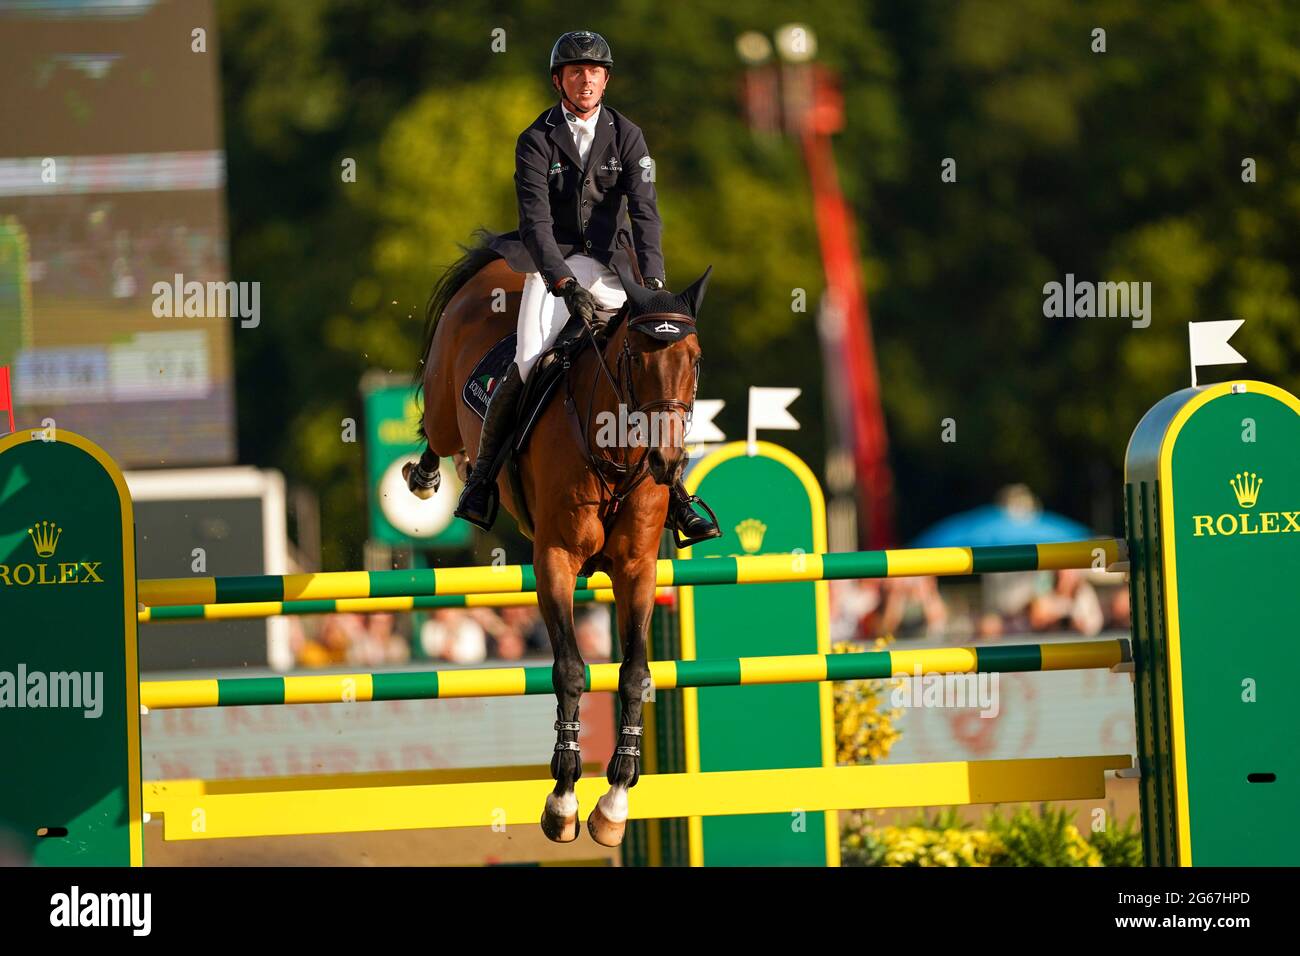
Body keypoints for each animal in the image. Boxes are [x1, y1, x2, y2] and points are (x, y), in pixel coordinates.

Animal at [405, 235, 712, 848]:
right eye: (636, 358)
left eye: (693, 360)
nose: (667, 462)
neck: (618, 454)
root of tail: (498, 268)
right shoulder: (555, 560)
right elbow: (571, 669)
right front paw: (564, 799)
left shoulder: (637, 569)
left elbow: (635, 675)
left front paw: (614, 804)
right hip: (450, 408)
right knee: (439, 431)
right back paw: (432, 479)